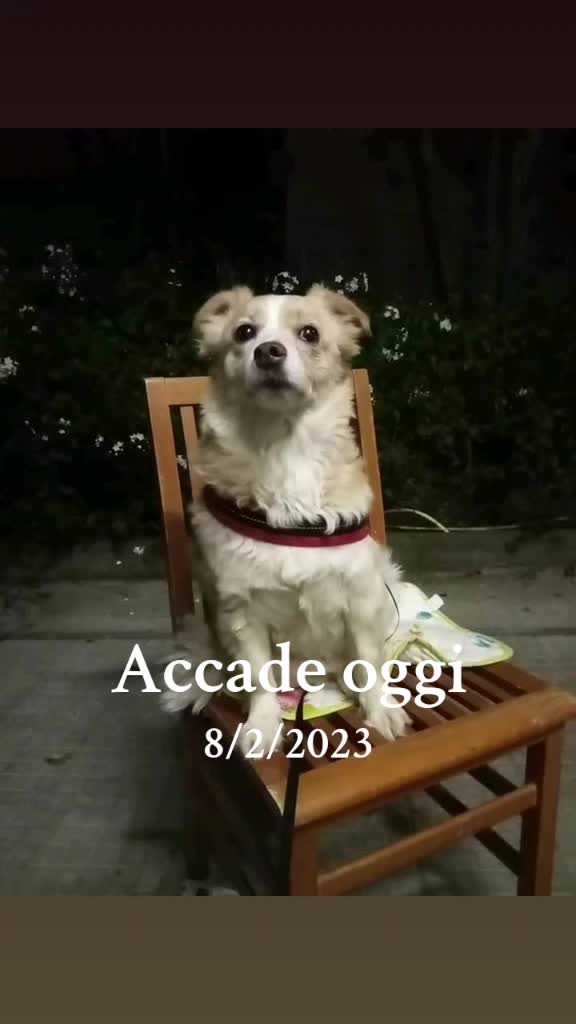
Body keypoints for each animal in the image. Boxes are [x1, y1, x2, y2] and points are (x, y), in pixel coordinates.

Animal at [169, 284, 409, 754]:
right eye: (244, 332)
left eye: (310, 333)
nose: (268, 352)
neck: (284, 449)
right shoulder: (241, 611)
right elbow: (258, 677)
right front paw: (263, 724)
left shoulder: (359, 594)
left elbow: (369, 660)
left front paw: (380, 708)